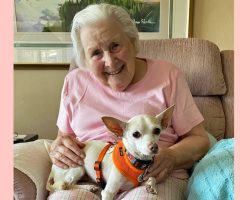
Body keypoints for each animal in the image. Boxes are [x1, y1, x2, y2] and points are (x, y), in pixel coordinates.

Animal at [47, 105, 176, 199]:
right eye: (136, 134)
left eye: (157, 130)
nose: (154, 147)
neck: (133, 161)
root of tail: (53, 168)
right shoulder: (108, 192)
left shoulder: (140, 181)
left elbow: (152, 178)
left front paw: (151, 186)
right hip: (78, 168)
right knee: (63, 185)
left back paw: (89, 187)